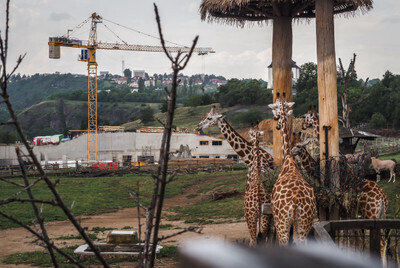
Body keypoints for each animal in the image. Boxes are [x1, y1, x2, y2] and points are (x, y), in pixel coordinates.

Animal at [268, 95, 318, 246]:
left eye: (277, 114)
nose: (277, 125)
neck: (288, 159)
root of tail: (296, 201)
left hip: (282, 225)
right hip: (304, 225)